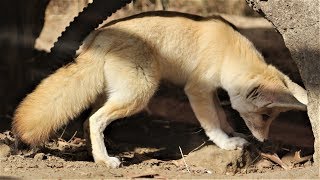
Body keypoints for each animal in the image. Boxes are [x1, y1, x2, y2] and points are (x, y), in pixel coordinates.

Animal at [12, 11, 308, 167]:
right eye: (265, 116)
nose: (264, 141)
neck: (228, 52)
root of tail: (98, 36)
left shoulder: (211, 92)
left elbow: (222, 116)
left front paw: (233, 133)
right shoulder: (197, 89)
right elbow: (212, 123)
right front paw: (225, 143)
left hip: (114, 94)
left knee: (87, 121)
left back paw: (96, 156)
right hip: (139, 93)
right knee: (95, 120)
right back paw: (106, 161)